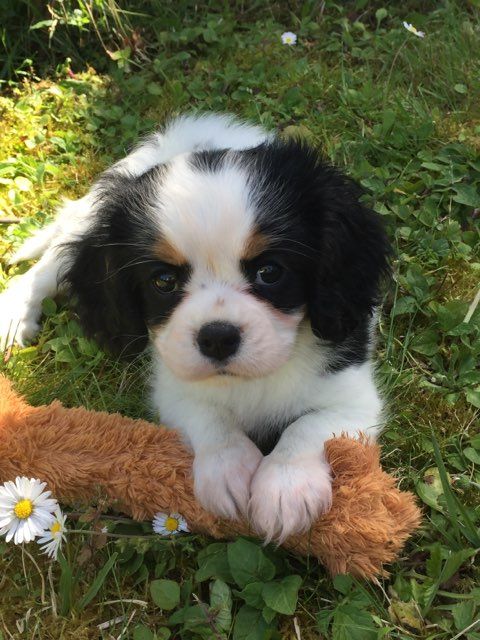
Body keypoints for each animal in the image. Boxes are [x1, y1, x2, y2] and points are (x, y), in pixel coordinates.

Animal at [0, 114, 390, 540]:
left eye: (270, 272)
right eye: (163, 281)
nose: (217, 338)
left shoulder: (352, 395)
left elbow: (309, 427)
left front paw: (285, 486)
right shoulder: (173, 384)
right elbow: (210, 418)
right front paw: (228, 469)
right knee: (48, 265)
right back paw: (15, 313)